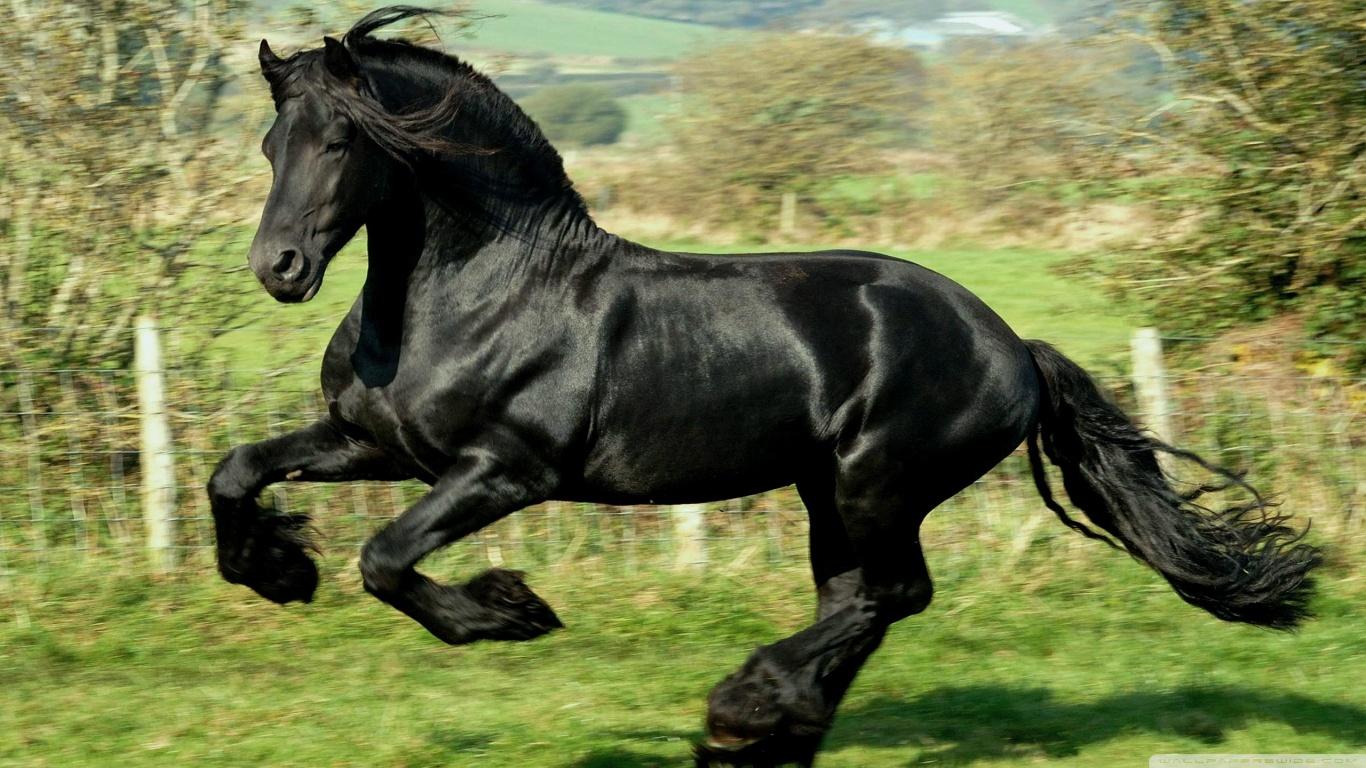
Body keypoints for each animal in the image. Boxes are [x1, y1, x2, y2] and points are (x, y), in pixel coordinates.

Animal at [207, 8, 1321, 766]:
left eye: (342, 142)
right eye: (269, 143)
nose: (280, 270)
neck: (480, 290)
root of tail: (1010, 342)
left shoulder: (504, 472)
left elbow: (387, 560)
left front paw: (512, 612)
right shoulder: (378, 445)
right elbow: (236, 472)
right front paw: (276, 571)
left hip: (878, 481)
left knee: (891, 594)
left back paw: (742, 710)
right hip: (828, 491)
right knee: (860, 601)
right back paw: (772, 735)